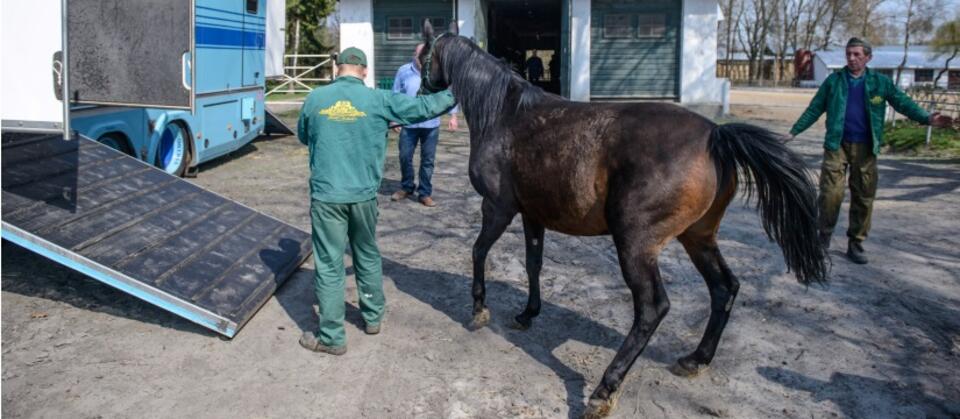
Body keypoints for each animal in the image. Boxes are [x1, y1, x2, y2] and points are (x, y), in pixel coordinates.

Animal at [416, 22, 828, 416]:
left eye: (422, 56)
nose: (419, 92)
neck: (505, 114)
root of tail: (716, 135)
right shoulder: (533, 214)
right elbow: (533, 264)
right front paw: (528, 313)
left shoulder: (497, 209)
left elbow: (478, 252)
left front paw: (478, 310)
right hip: (698, 237)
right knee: (724, 288)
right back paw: (696, 359)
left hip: (635, 244)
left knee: (652, 308)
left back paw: (604, 390)